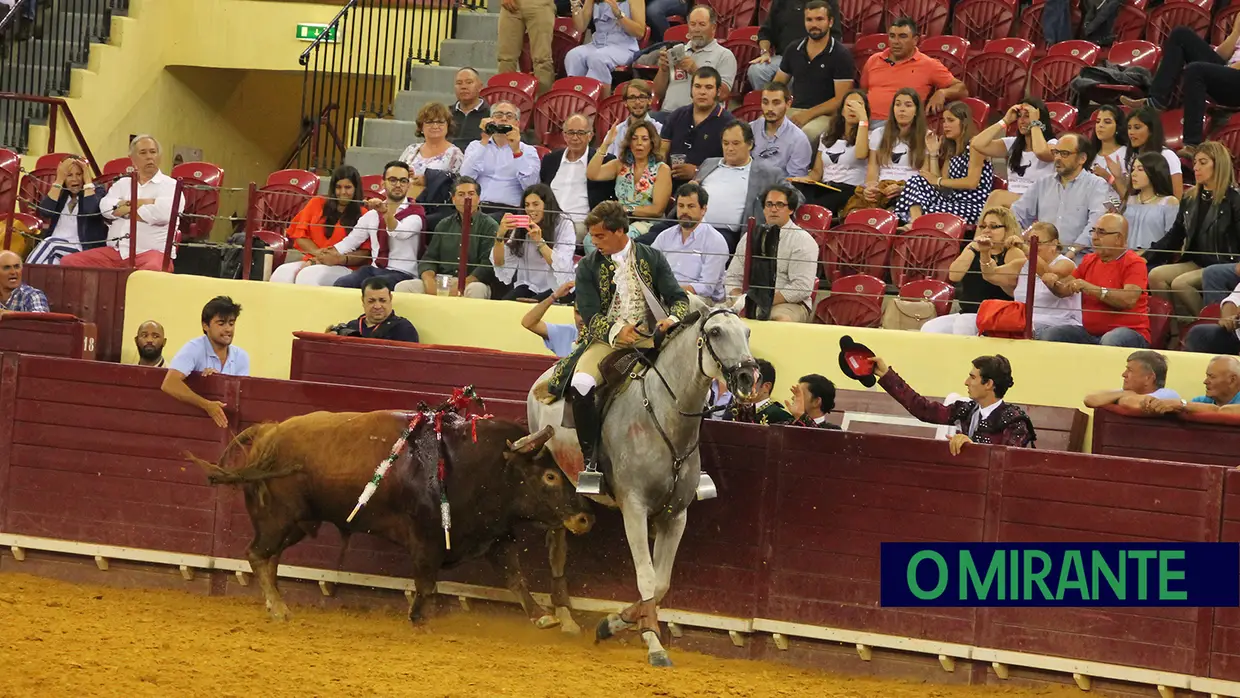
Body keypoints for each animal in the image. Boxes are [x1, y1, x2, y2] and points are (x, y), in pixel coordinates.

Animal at [188, 409, 595, 622]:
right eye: (549, 476)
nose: (584, 519)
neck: (480, 467)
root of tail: (269, 432)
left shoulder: (494, 535)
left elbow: (516, 578)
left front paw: (542, 615)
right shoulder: (427, 542)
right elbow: (426, 584)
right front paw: (419, 619)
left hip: (297, 523)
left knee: (269, 559)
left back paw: (278, 605)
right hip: (278, 519)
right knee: (258, 555)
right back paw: (277, 606)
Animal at [523, 307, 753, 664]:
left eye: (747, 332)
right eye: (715, 332)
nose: (747, 376)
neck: (667, 416)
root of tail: (545, 379)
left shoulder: (676, 515)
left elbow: (660, 583)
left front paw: (615, 624)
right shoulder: (633, 508)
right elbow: (646, 576)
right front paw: (654, 645)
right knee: (556, 543)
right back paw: (564, 615)